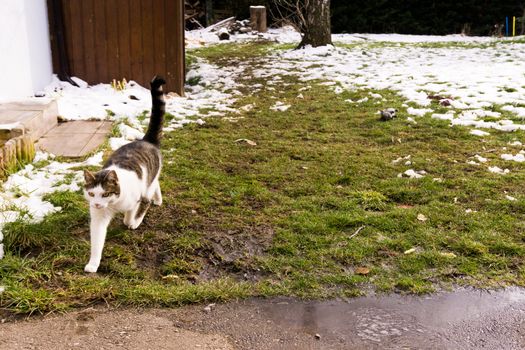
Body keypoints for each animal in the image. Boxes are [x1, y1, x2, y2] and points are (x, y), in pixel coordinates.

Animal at [83, 76, 165, 274]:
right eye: (91, 193)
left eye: (105, 193)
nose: (97, 204)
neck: (113, 204)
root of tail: (146, 140)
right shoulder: (98, 218)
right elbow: (97, 241)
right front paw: (93, 264)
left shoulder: (135, 200)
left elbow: (133, 212)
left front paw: (130, 222)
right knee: (156, 183)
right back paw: (158, 199)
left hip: (147, 183)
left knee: (150, 193)